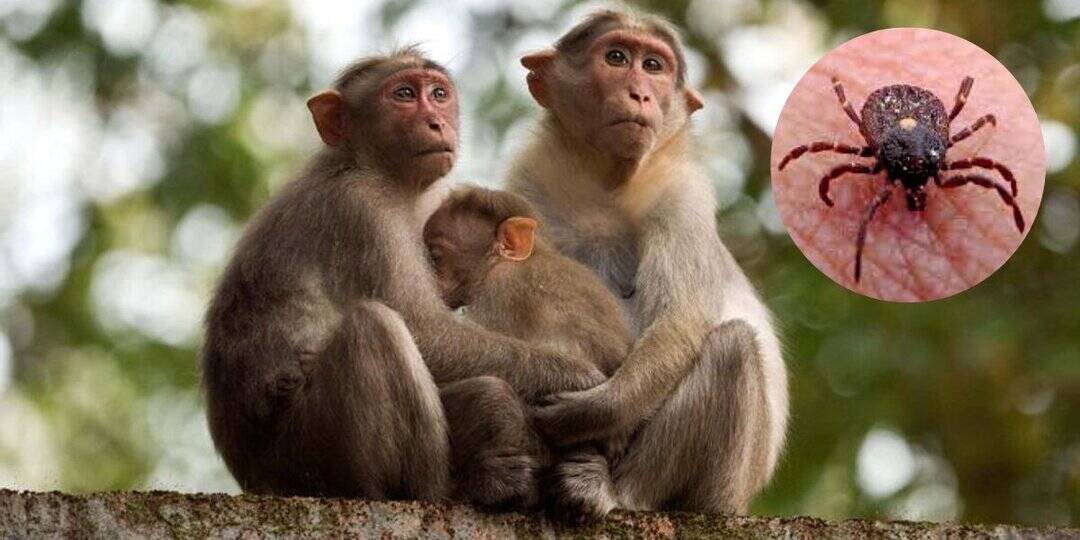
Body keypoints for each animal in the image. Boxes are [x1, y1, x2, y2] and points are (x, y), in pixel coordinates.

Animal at [200, 48, 605, 507]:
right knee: (375, 328)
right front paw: (579, 380)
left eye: (439, 94)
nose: (436, 122)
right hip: (306, 456)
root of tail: (254, 477)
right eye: (405, 94)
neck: (370, 168)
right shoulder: (362, 210)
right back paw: (441, 488)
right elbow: (425, 330)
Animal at [504, 9, 790, 517]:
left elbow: (681, 320)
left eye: (653, 66)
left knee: (734, 348)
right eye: (617, 58)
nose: (640, 93)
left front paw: (593, 413)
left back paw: (612, 490)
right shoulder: (527, 182)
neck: (607, 179)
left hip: (722, 488)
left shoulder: (682, 193)